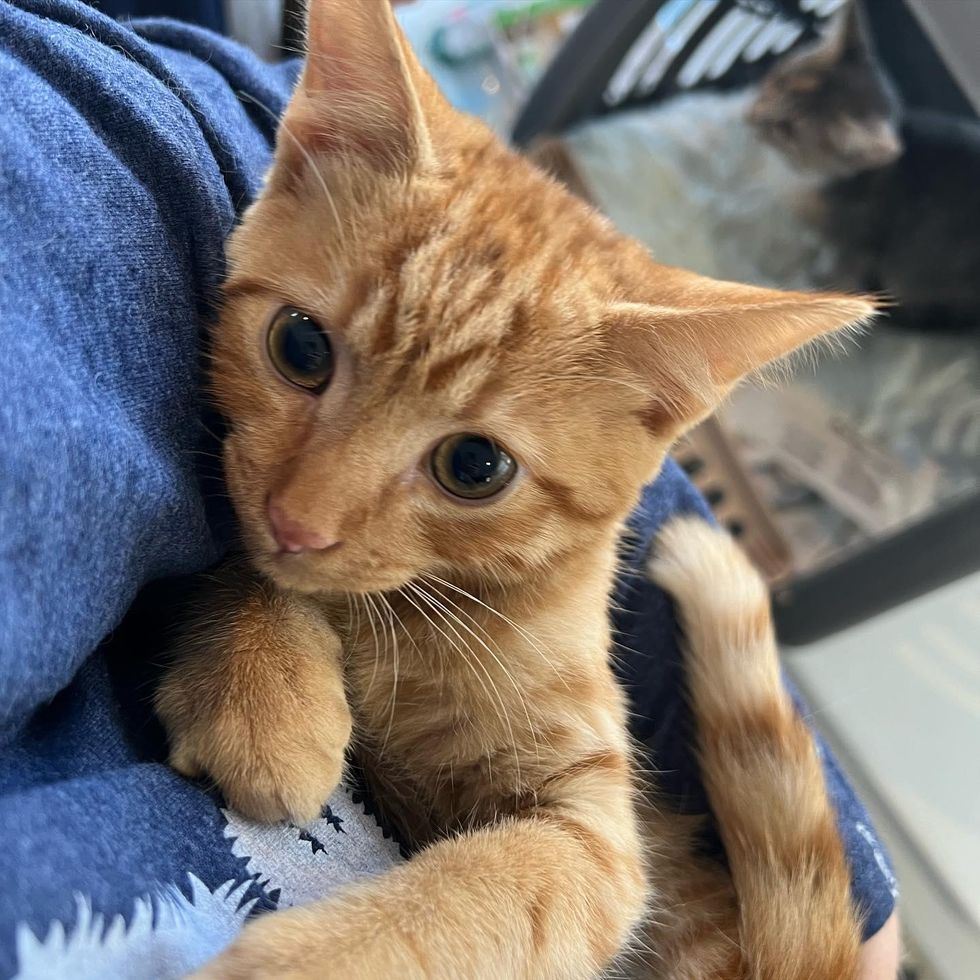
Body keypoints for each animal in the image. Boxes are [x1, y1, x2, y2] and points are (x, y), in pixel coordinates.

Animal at [157, 3, 876, 976]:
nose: (299, 522)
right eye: (301, 346)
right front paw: (265, 681)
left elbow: (492, 892)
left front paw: (314, 958)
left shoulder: (599, 834)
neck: (421, 618)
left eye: (475, 467)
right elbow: (258, 558)